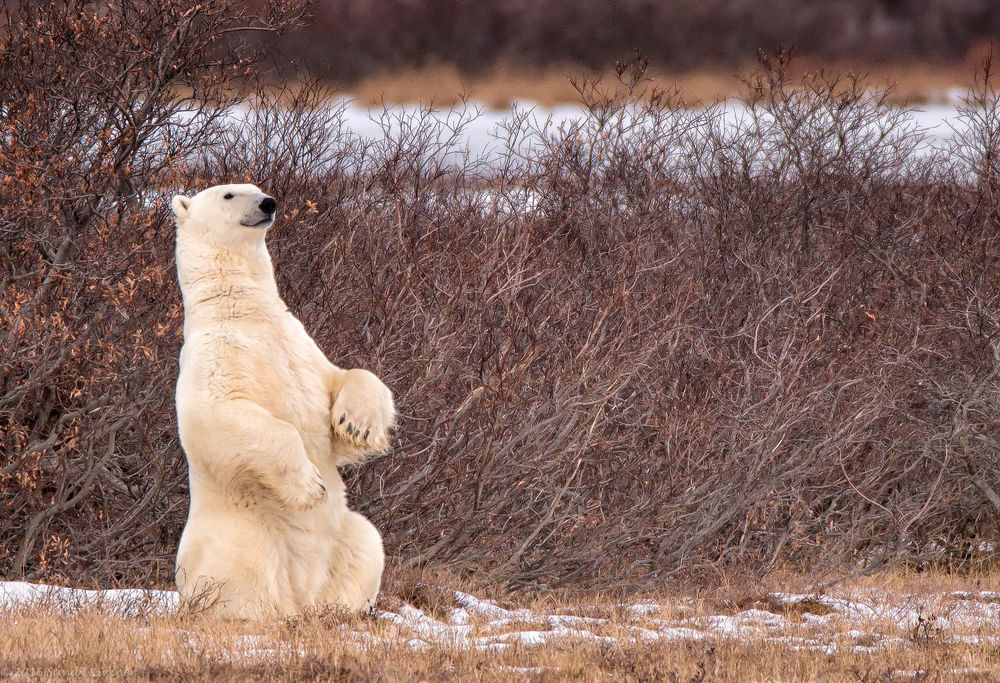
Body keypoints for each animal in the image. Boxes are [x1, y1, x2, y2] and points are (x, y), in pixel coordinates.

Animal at [170, 182, 392, 620]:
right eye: (229, 194)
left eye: (256, 188)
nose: (268, 203)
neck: (244, 312)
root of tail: (302, 594)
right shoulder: (212, 361)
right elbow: (219, 414)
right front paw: (311, 486)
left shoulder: (301, 348)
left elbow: (343, 381)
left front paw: (357, 424)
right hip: (240, 531)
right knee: (242, 568)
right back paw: (252, 614)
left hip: (343, 535)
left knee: (366, 543)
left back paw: (338, 611)